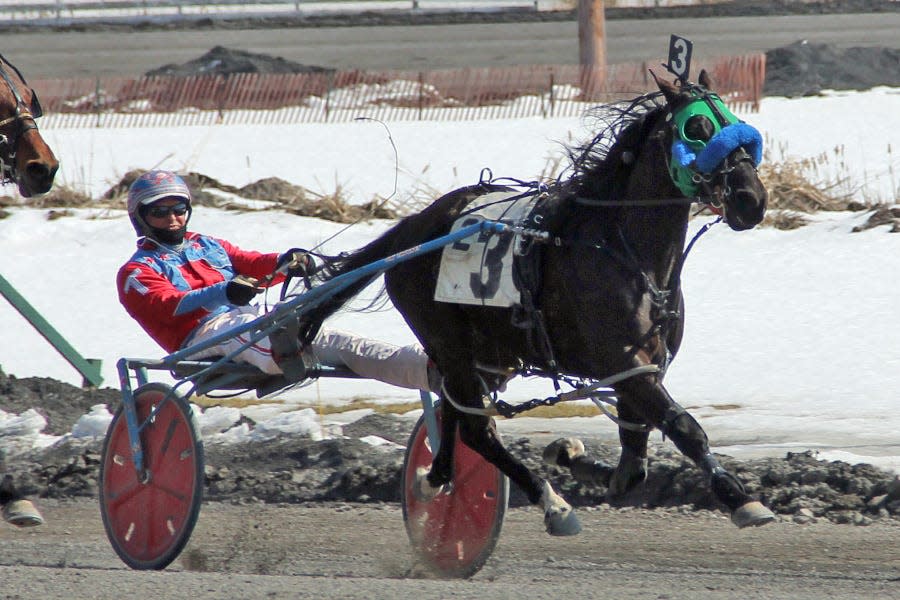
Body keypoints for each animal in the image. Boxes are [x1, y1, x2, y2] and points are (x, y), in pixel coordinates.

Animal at [312, 71, 772, 536]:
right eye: (696, 128)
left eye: (737, 123)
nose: (751, 199)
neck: (624, 250)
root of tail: (411, 231)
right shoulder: (627, 365)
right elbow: (684, 427)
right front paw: (740, 499)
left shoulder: (640, 370)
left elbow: (632, 468)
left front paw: (569, 454)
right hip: (448, 341)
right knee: (476, 429)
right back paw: (551, 503)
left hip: (489, 355)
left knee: (456, 412)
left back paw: (438, 476)